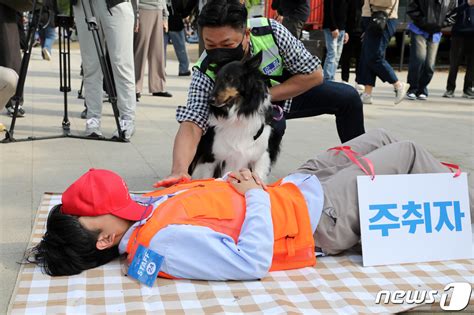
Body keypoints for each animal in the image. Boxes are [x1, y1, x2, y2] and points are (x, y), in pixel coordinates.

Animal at [189, 51, 284, 180]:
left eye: (229, 78)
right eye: (216, 79)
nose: (209, 100)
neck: (238, 114)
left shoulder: (261, 157)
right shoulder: (211, 158)